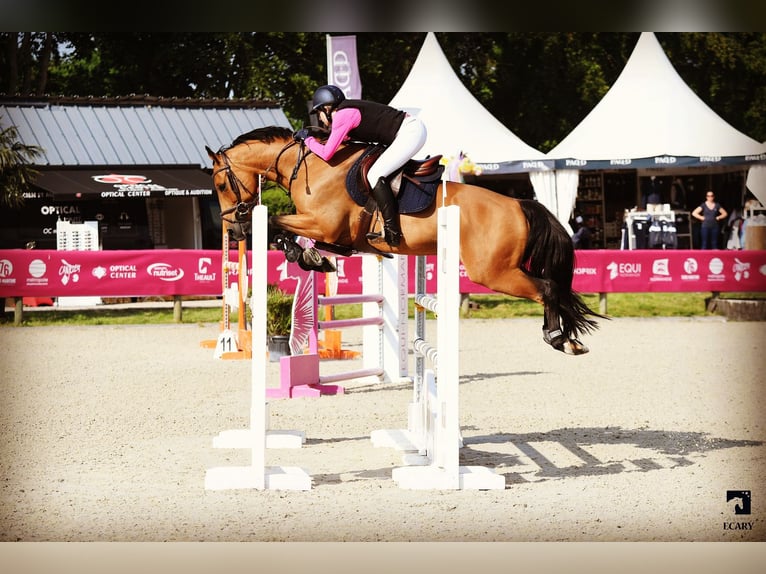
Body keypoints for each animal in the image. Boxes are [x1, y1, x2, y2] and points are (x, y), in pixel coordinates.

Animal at [206, 126, 605, 355]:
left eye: (222, 184)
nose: (233, 231)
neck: (311, 167)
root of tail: (519, 205)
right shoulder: (332, 234)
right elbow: (295, 236)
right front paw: (311, 259)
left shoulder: (324, 224)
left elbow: (276, 222)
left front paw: (297, 251)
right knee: (551, 288)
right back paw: (565, 337)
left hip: (492, 272)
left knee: (547, 288)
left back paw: (559, 338)